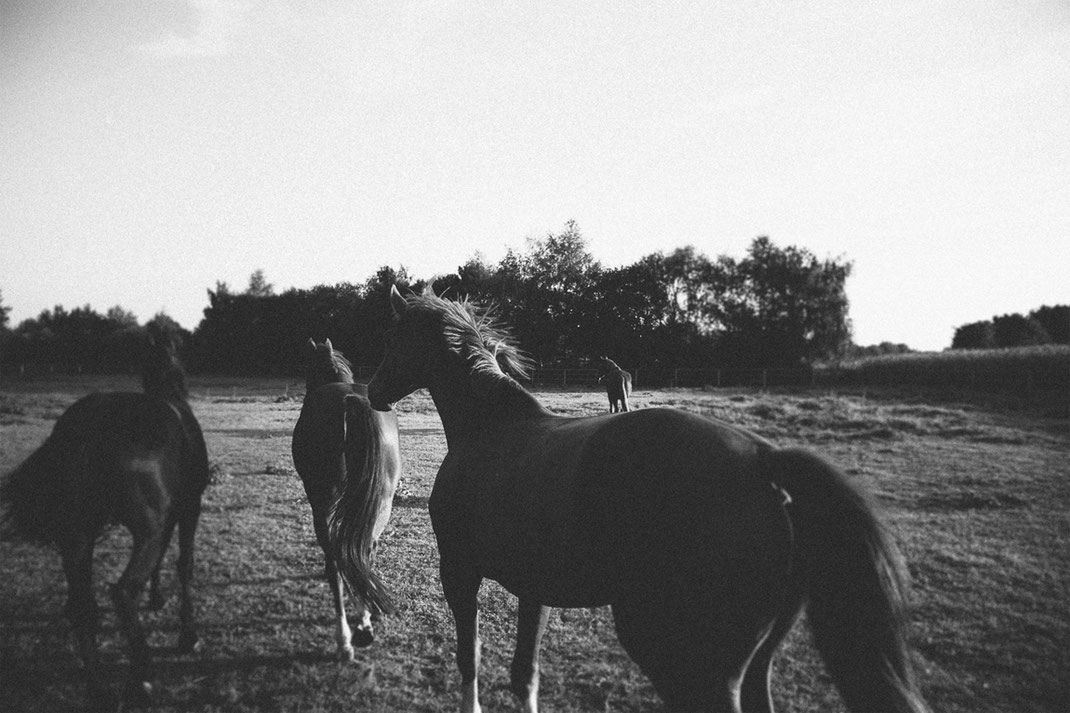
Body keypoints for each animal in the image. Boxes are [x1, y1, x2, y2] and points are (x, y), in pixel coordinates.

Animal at [0, 325, 208, 706]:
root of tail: (87, 425)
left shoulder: (170, 515)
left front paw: (157, 598)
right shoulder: (189, 506)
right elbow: (184, 564)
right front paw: (188, 634)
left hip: (78, 537)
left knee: (85, 605)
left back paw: (99, 689)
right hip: (145, 531)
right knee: (124, 591)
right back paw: (142, 677)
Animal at [293, 336, 402, 659]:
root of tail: (350, 402)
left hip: (323, 504)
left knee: (336, 564)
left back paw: (346, 638)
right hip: (382, 503)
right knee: (365, 549)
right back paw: (366, 618)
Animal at [361, 284, 928, 710]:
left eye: (392, 336)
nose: (374, 392)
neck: (492, 428)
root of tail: (766, 462)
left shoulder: (460, 571)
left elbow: (470, 659)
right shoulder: (533, 588)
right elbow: (526, 674)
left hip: (688, 661)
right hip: (754, 661)